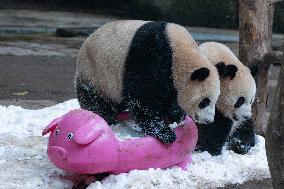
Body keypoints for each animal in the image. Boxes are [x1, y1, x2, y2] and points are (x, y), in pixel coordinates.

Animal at [74, 20, 221, 143]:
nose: (209, 120)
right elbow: (142, 99)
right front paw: (165, 133)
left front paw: (176, 115)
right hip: (94, 73)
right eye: (205, 101)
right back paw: (106, 116)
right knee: (93, 98)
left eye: (215, 100)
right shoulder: (150, 57)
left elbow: (169, 97)